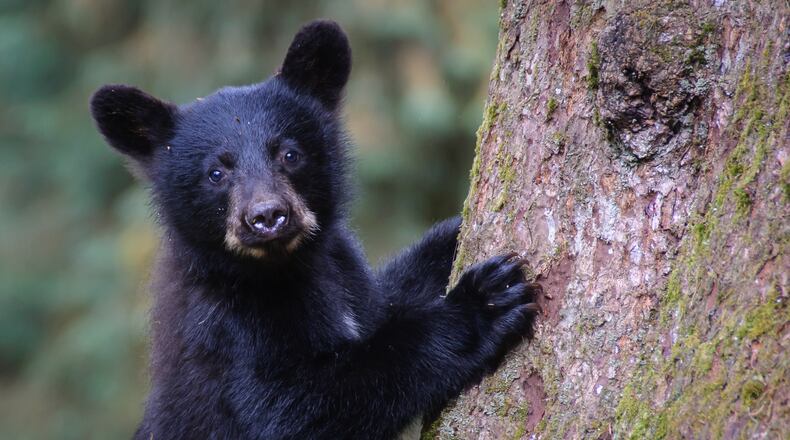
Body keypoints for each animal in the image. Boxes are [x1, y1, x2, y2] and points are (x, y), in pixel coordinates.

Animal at [90, 20, 540, 440]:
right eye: (216, 172)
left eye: (289, 153)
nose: (268, 216)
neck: (287, 267)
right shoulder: (228, 335)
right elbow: (301, 407)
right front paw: (484, 302)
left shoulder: (347, 276)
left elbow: (391, 296)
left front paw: (452, 236)